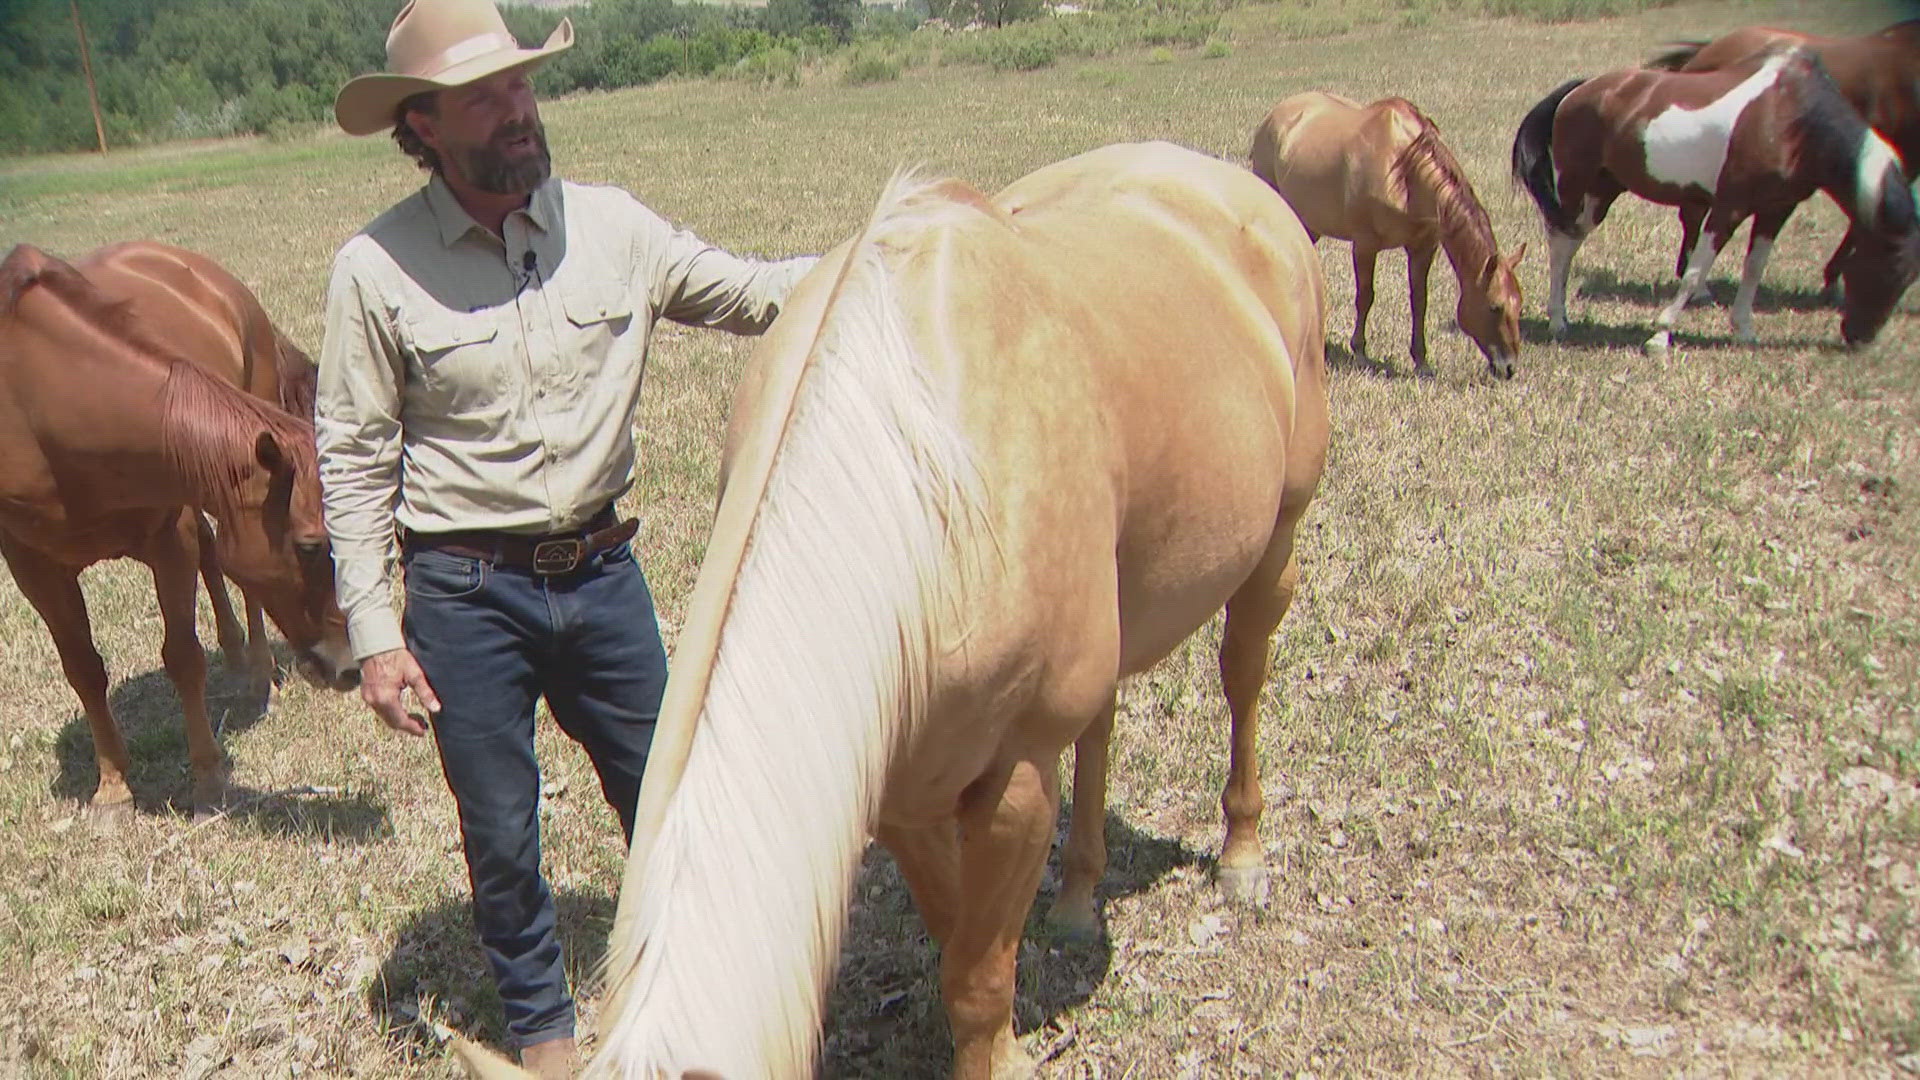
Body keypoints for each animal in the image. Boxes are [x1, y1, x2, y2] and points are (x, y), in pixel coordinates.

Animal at [0, 242, 357, 814]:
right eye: (309, 545)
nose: (349, 667)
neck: (41, 403)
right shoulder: (33, 566)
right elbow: (83, 668)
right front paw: (113, 789)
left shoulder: (170, 540)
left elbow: (183, 656)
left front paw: (208, 781)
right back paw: (235, 655)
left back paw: (258, 674)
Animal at [447, 143, 1328, 1076]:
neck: (927, 472)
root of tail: (1227, 182)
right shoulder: (901, 790)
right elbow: (957, 946)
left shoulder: (1015, 776)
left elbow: (977, 979)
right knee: (1102, 723)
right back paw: (1079, 899)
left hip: (1278, 532)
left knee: (1244, 677)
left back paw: (1241, 855)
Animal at [1244, 93, 1528, 378]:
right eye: (1495, 307)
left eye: (1519, 306)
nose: (1509, 368)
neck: (1404, 169)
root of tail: (1273, 117)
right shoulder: (1365, 245)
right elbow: (1365, 296)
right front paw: (1359, 351)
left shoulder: (1423, 247)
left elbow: (1419, 301)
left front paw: (1421, 360)